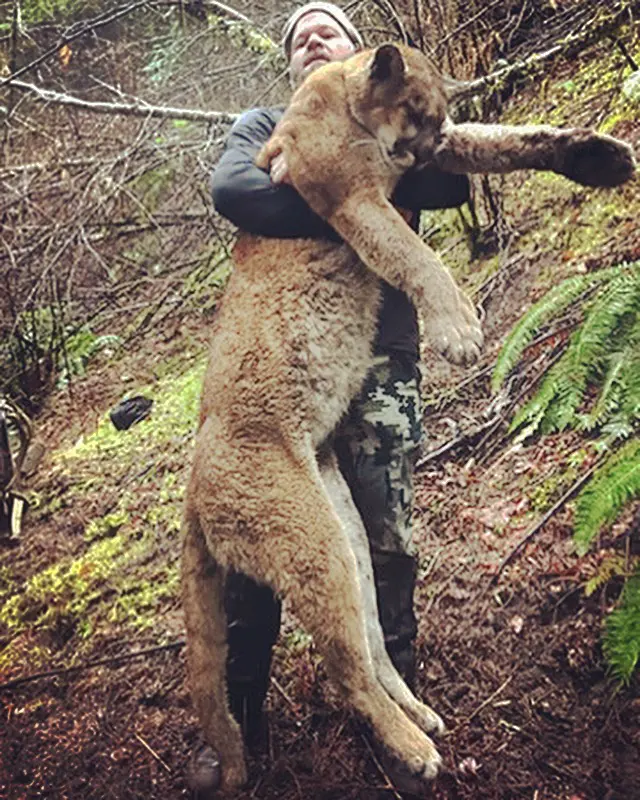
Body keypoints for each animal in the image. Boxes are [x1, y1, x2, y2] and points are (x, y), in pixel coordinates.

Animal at [181, 44, 635, 794]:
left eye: (438, 116)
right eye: (417, 112)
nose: (429, 147)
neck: (348, 103)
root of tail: (191, 490)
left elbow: (505, 140)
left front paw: (597, 157)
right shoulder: (350, 197)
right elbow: (415, 256)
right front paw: (458, 331)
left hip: (343, 531)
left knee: (369, 640)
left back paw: (419, 715)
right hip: (305, 540)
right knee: (343, 671)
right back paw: (413, 750)